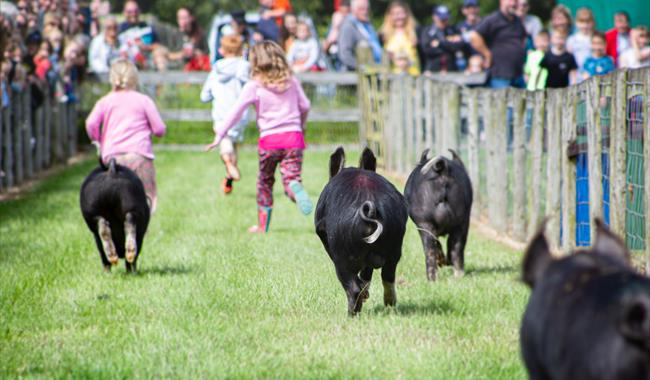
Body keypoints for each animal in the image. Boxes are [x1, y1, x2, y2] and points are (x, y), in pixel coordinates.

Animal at [314, 147, 404, 316]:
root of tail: (370, 206)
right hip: (395, 246)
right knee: (387, 277)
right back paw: (389, 305)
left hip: (342, 256)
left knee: (353, 288)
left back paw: (351, 314)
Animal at [402, 148, 468, 280]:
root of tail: (441, 168)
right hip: (462, 221)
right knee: (456, 247)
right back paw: (457, 275)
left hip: (424, 222)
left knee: (430, 249)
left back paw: (433, 278)